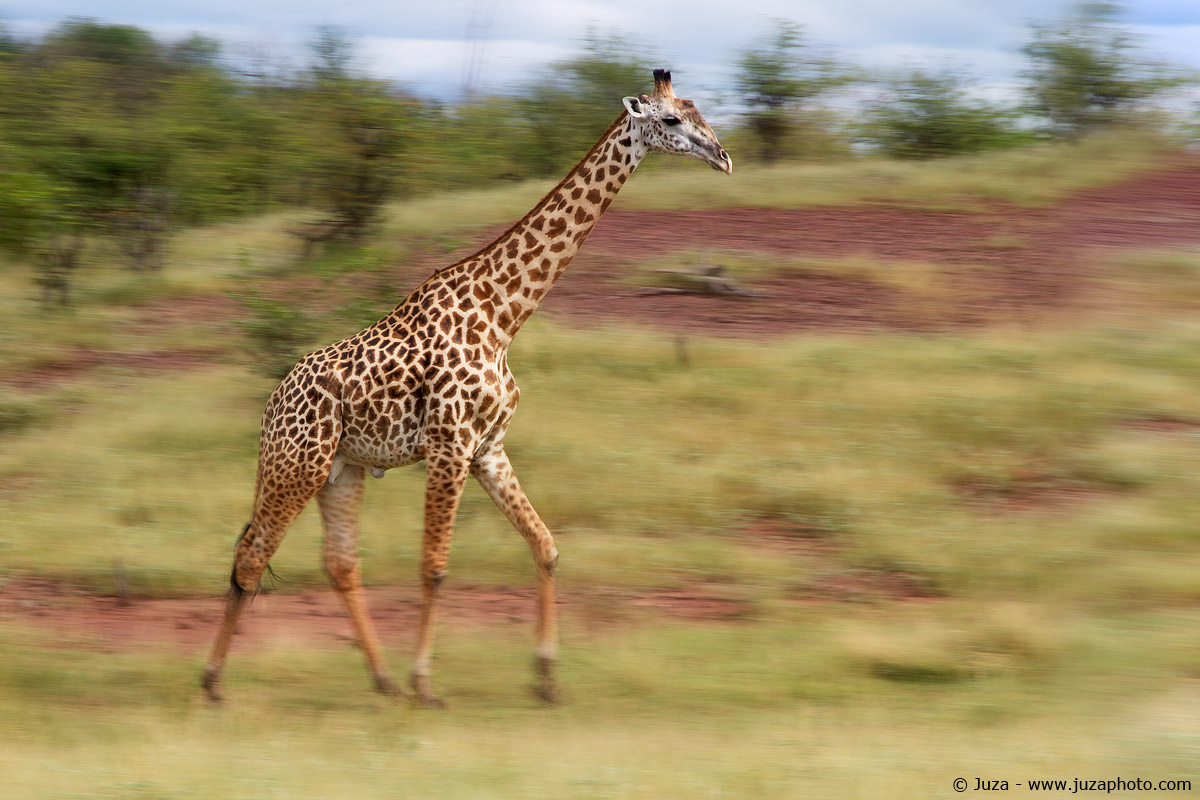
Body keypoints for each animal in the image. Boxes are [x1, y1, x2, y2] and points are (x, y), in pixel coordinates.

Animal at [201, 69, 732, 707]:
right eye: (672, 120)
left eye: (699, 112)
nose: (724, 157)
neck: (503, 314)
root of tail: (270, 406)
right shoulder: (449, 445)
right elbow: (435, 565)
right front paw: (426, 683)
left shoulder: (488, 448)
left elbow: (545, 546)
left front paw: (547, 678)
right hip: (296, 466)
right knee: (251, 555)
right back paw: (213, 684)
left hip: (340, 471)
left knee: (339, 562)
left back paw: (380, 680)